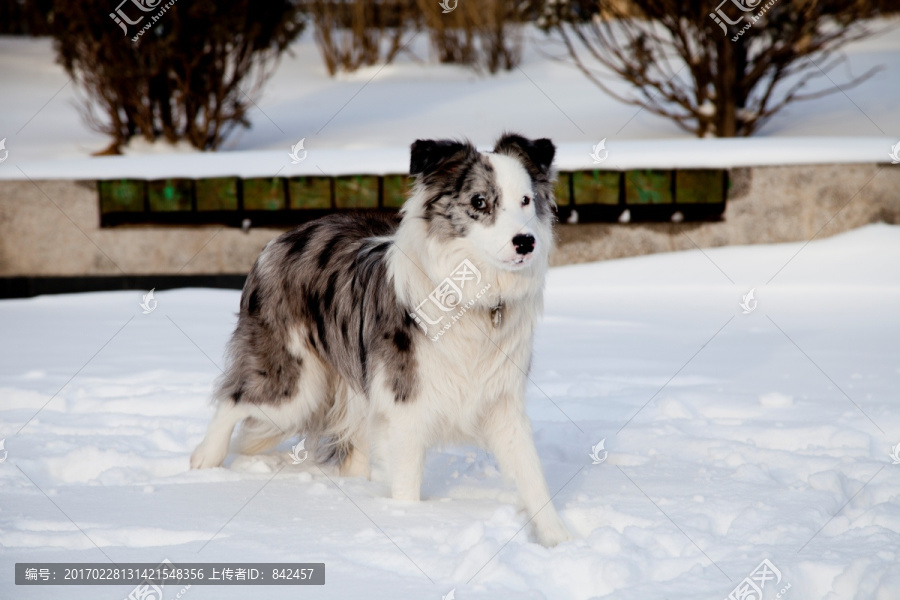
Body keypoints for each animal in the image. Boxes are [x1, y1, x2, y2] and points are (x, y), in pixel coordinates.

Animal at [190, 134, 568, 548]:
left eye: (526, 200)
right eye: (480, 202)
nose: (525, 242)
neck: (473, 297)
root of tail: (279, 240)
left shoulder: (502, 401)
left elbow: (531, 475)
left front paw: (558, 541)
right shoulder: (407, 406)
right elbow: (407, 485)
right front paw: (406, 523)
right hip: (295, 384)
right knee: (234, 398)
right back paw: (204, 462)